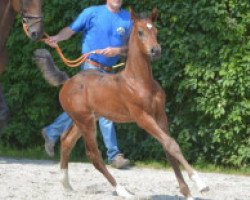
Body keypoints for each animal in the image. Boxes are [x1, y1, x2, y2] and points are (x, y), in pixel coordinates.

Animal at [33, 8, 209, 200]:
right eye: (140, 32)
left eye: (155, 31)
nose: (155, 50)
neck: (140, 81)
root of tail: (66, 82)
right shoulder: (142, 117)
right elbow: (171, 144)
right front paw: (200, 183)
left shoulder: (160, 115)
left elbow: (168, 148)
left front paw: (187, 193)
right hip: (85, 122)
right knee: (94, 156)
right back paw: (122, 190)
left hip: (85, 120)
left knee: (66, 141)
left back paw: (66, 184)